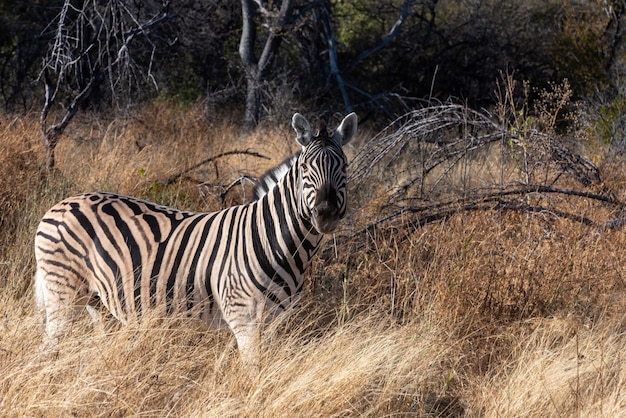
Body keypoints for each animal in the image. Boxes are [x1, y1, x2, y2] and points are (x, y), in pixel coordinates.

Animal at [34, 111, 356, 370]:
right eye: (305, 168)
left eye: (345, 167)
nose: (326, 214)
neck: (275, 241)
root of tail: (58, 205)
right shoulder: (244, 318)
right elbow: (253, 372)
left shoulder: (277, 320)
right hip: (63, 292)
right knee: (50, 348)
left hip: (95, 302)